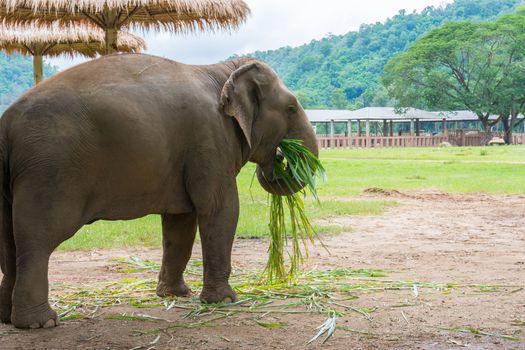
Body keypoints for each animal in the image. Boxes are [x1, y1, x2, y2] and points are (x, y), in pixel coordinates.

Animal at [0, 54, 318, 328]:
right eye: (291, 108)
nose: (282, 157)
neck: (222, 70)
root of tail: (7, 123)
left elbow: (180, 222)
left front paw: (174, 295)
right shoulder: (211, 141)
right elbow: (220, 209)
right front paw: (225, 301)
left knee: (10, 244)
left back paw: (7, 318)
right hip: (50, 171)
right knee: (37, 241)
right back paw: (41, 323)